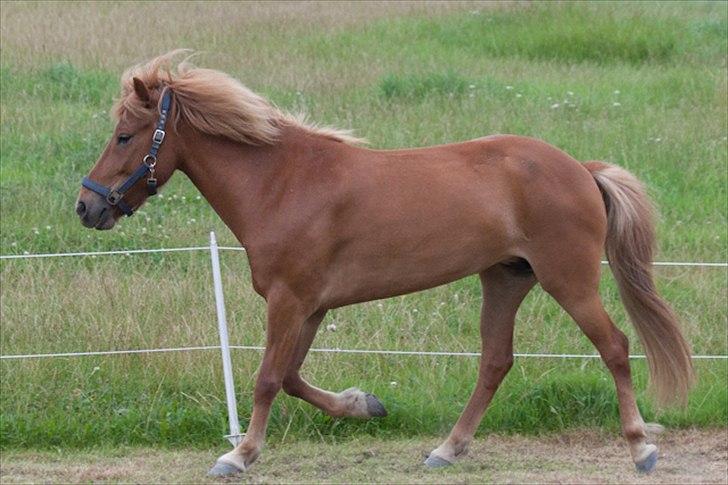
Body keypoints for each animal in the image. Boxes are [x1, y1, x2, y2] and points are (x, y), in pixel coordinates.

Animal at [77, 51, 692, 474]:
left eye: (125, 135)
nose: (87, 206)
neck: (281, 183)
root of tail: (581, 170)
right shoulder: (310, 307)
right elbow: (293, 377)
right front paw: (366, 405)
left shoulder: (289, 301)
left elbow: (268, 378)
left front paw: (240, 456)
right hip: (505, 279)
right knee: (495, 362)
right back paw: (447, 449)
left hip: (569, 280)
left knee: (614, 346)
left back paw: (641, 447)